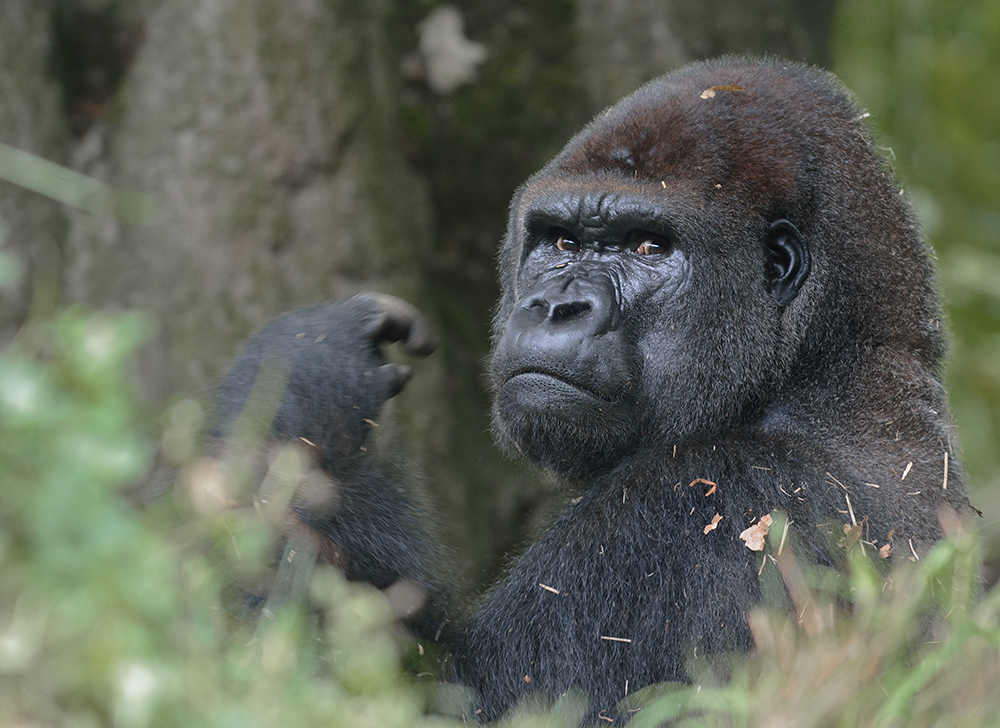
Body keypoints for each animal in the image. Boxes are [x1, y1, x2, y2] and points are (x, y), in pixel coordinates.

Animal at [215, 57, 972, 724]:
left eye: (647, 247)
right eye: (560, 241)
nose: (557, 307)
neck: (834, 365)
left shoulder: (702, 503)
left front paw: (304, 381)